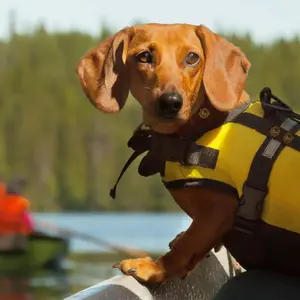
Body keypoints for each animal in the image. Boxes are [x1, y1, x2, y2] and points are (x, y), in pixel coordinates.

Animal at [76, 24, 300, 284]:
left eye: (192, 57)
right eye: (144, 56)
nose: (170, 102)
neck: (202, 126)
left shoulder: (218, 211)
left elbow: (185, 248)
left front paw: (153, 267)